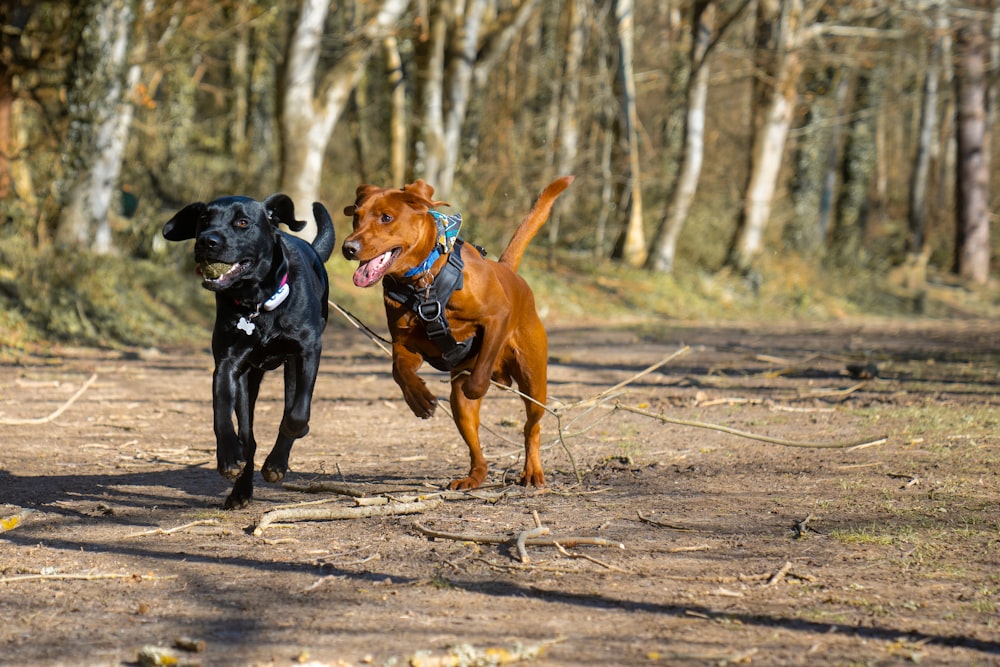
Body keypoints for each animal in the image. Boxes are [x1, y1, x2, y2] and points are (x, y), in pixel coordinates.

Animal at [162, 196, 336, 508]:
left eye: (243, 222)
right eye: (204, 220)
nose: (207, 241)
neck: (257, 303)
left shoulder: (308, 351)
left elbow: (296, 414)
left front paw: (282, 452)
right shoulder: (228, 363)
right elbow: (222, 411)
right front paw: (229, 458)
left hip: (291, 366)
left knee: (290, 407)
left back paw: (276, 463)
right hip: (250, 378)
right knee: (248, 434)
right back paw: (241, 490)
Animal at [342, 177, 572, 490]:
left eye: (386, 218)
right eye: (356, 217)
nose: (348, 248)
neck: (424, 280)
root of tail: (508, 271)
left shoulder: (497, 317)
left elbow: (482, 366)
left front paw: (479, 383)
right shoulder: (404, 343)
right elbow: (399, 370)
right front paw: (419, 400)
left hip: (534, 380)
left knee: (531, 427)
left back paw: (532, 471)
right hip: (460, 409)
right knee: (476, 447)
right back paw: (473, 477)